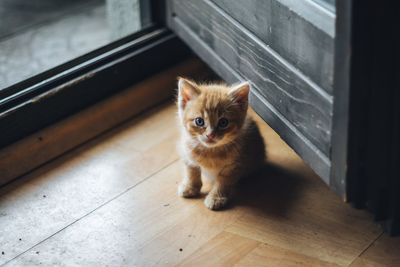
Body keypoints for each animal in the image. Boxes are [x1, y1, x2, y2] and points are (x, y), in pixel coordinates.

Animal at [176, 78, 266, 211]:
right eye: (199, 121)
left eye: (223, 122)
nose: (210, 135)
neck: (210, 151)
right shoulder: (187, 153)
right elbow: (191, 170)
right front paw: (190, 187)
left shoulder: (233, 166)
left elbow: (223, 182)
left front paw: (216, 198)